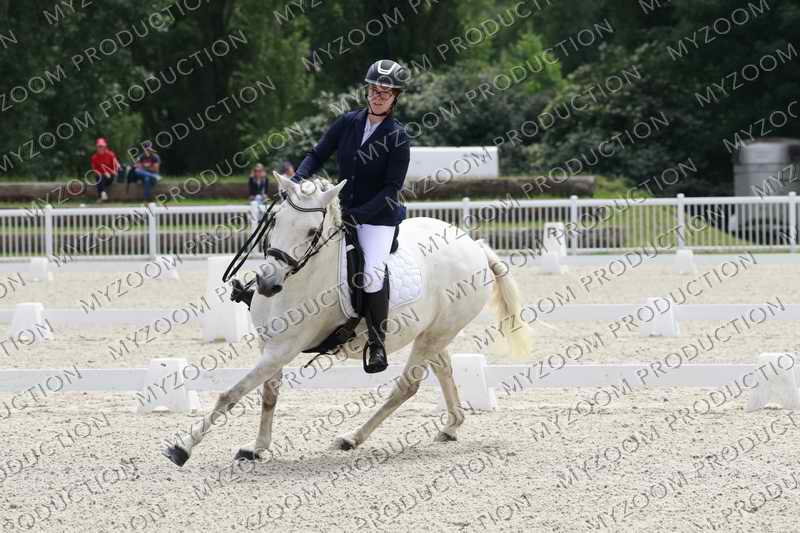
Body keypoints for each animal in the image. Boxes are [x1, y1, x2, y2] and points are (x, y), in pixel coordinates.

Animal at [163, 174, 532, 466]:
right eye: (275, 221)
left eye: (312, 230)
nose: (267, 283)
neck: (300, 279)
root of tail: (475, 245)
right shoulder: (271, 344)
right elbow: (268, 395)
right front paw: (257, 448)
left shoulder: (284, 348)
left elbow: (231, 394)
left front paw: (183, 447)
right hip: (433, 333)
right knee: (444, 369)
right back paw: (451, 426)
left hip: (435, 334)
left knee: (407, 386)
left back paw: (352, 438)